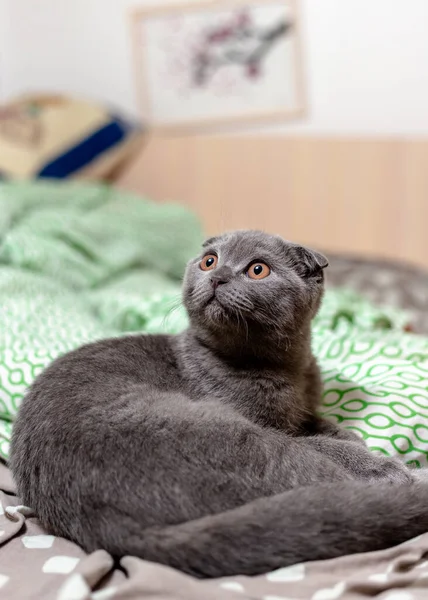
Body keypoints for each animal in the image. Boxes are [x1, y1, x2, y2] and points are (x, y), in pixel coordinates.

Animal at [10, 230, 428, 576]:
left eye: (257, 269)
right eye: (209, 260)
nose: (218, 276)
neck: (283, 369)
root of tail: (107, 529)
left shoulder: (301, 410)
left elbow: (321, 422)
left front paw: (347, 432)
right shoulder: (269, 425)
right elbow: (324, 443)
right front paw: (367, 453)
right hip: (239, 440)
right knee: (318, 475)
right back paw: (404, 475)